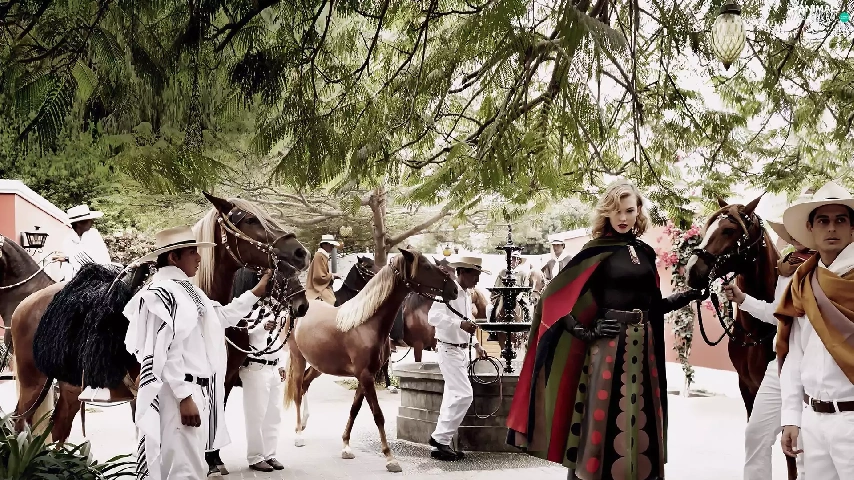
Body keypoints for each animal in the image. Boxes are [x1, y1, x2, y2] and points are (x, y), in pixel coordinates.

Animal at [10, 192, 310, 447]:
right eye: (249, 219)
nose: (300, 253)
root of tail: (24, 305)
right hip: (32, 383)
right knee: (20, 423)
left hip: (69, 388)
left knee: (58, 429)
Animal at [283, 249, 457, 472]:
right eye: (426, 266)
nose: (454, 289)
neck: (365, 324)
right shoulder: (366, 376)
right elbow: (378, 415)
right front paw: (390, 458)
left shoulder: (366, 376)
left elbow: (355, 409)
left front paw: (346, 446)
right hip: (298, 358)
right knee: (297, 390)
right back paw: (298, 433)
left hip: (318, 365)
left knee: (305, 384)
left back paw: (304, 424)